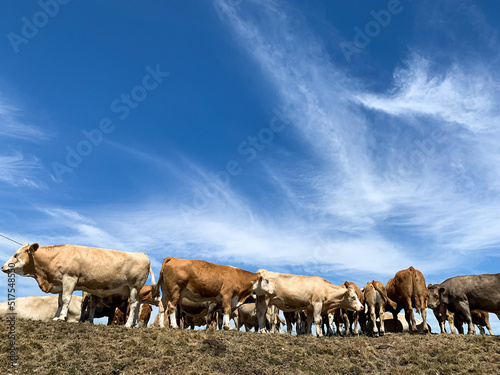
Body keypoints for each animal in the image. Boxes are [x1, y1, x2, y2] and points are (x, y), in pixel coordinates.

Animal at [0, 244, 155, 328]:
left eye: (16, 254)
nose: (3, 267)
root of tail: (143, 254)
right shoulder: (61, 283)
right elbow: (59, 302)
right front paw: (56, 317)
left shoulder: (70, 279)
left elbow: (66, 299)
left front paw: (62, 317)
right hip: (134, 290)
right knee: (137, 304)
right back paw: (132, 324)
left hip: (134, 286)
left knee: (133, 304)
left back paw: (128, 325)